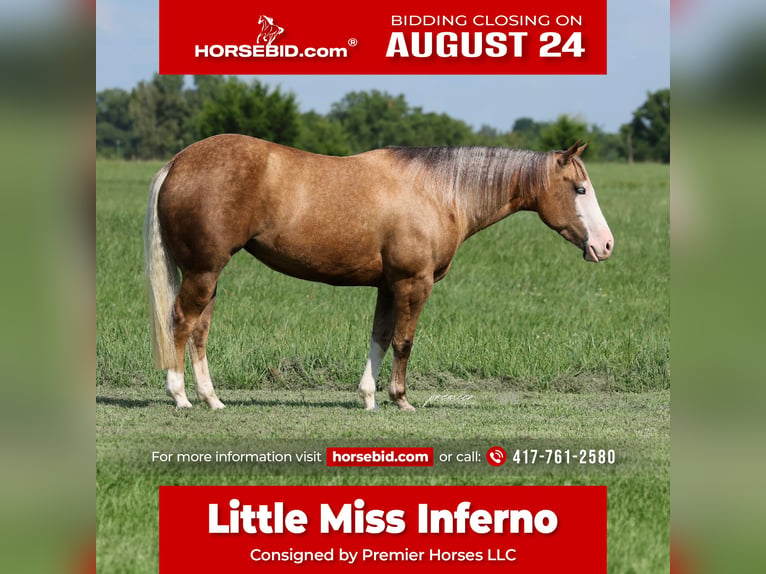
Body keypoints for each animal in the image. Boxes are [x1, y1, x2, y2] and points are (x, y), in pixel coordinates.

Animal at [144, 135, 613, 411]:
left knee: (200, 330)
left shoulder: (389, 286)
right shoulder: (413, 283)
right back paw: (181, 397)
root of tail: (177, 162)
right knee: (181, 322)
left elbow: (381, 337)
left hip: (208, 275)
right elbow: (404, 341)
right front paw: (400, 399)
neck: (437, 191)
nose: (605, 245)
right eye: (579, 189)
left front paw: (369, 397)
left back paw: (212, 399)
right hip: (203, 272)